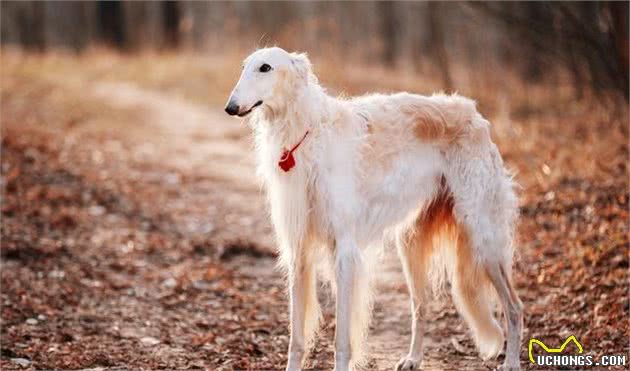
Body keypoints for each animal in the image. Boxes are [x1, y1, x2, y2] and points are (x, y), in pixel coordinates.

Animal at [225, 47, 524, 371]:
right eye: (244, 67)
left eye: (265, 67)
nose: (230, 107)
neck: (306, 134)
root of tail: (474, 114)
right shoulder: (299, 250)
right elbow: (297, 338)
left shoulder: (344, 250)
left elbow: (342, 340)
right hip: (411, 243)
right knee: (421, 306)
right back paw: (413, 358)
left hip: (483, 238)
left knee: (515, 307)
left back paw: (512, 361)